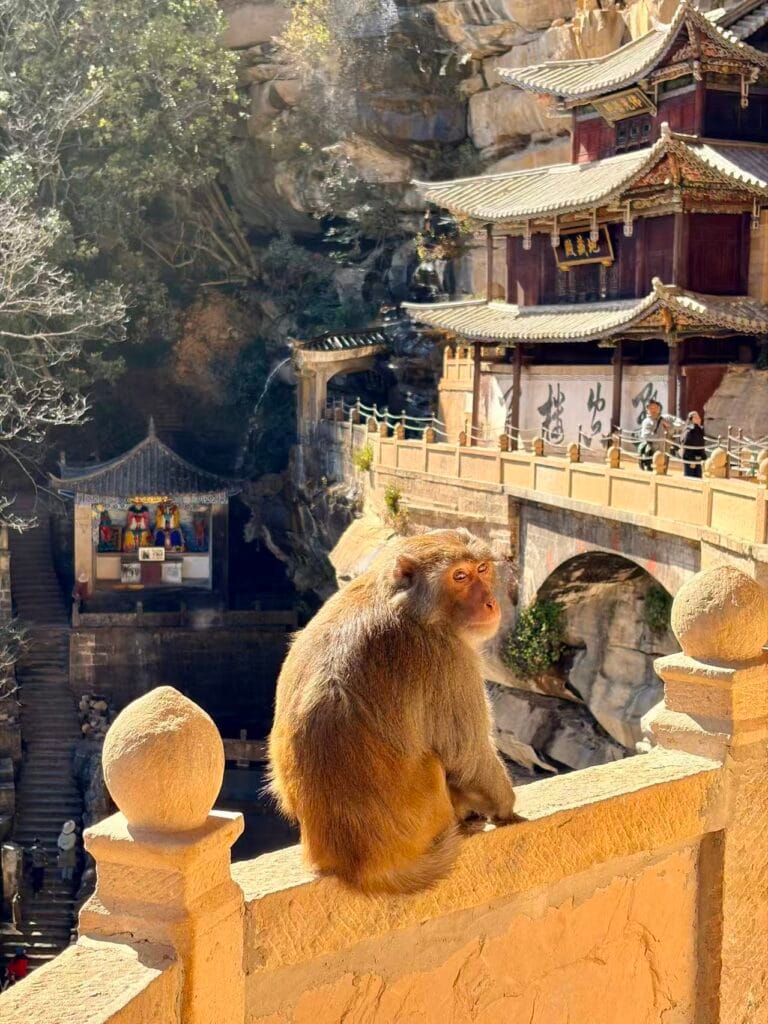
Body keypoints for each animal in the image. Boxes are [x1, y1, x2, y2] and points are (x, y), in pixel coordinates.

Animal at [267, 528, 517, 895]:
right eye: (459, 576)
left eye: (482, 569)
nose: (490, 602)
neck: (405, 604)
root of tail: (358, 866)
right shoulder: (448, 656)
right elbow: (468, 757)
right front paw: (506, 807)